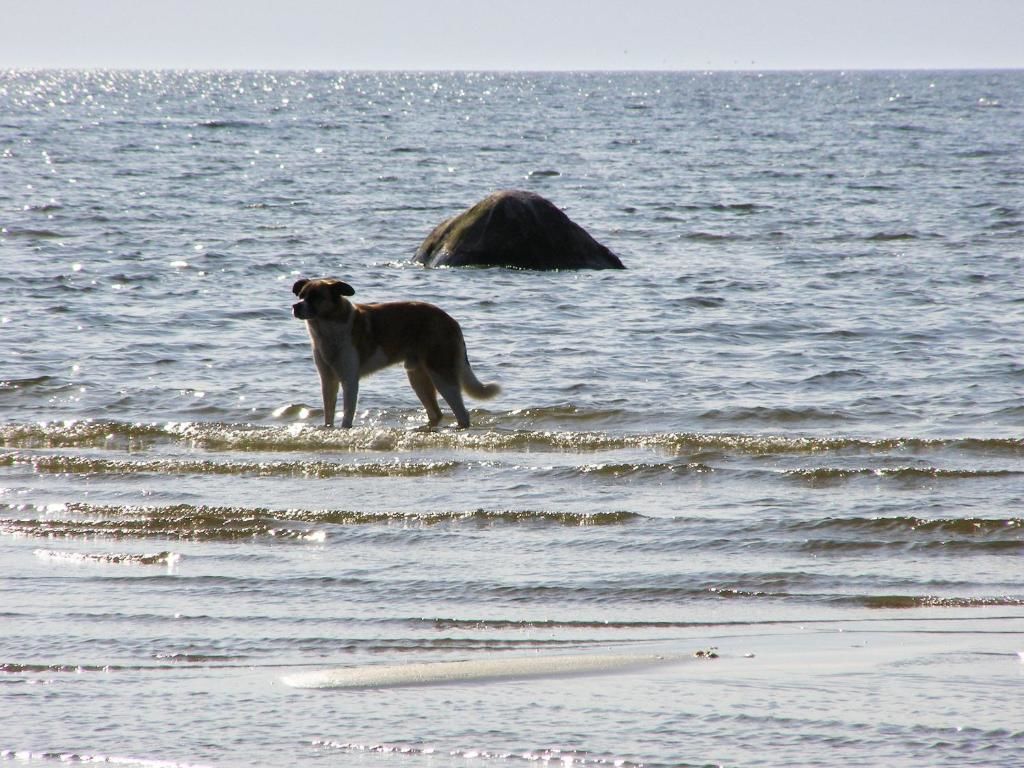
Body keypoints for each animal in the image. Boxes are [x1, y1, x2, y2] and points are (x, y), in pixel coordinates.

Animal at [292, 278, 499, 434]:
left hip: (441, 375)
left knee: (462, 414)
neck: (327, 326)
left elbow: (347, 415)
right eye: (302, 295)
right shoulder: (328, 381)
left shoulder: (349, 380)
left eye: (316, 297)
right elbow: (329, 413)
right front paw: (327, 429)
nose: (295, 306)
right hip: (417, 376)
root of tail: (451, 321)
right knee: (436, 413)